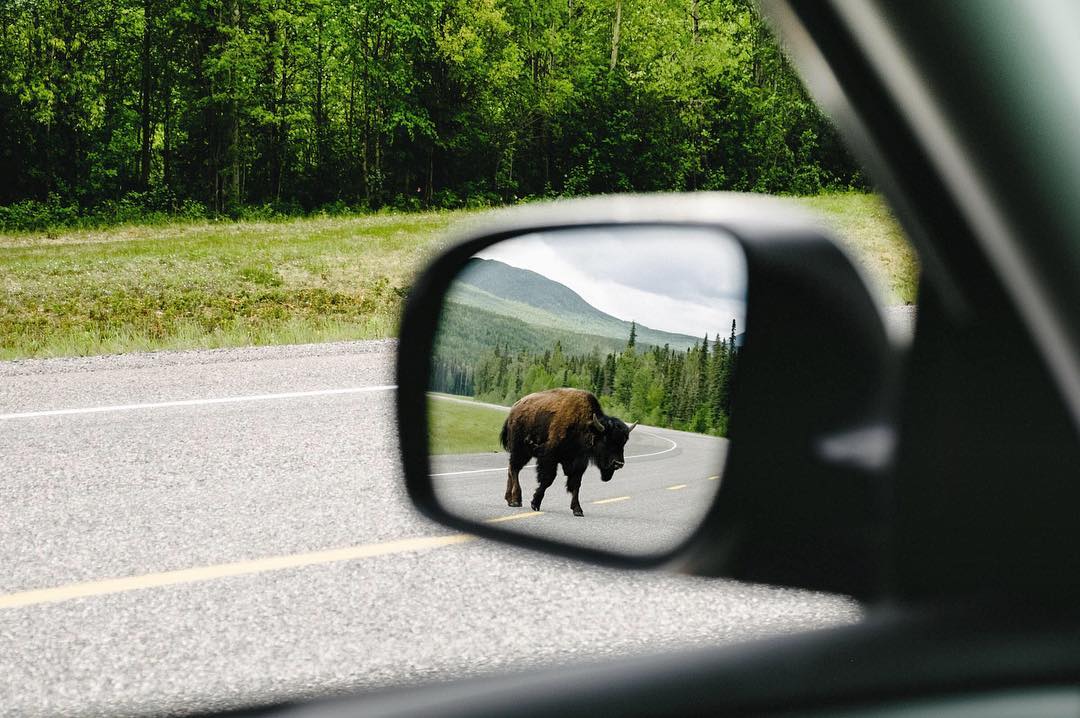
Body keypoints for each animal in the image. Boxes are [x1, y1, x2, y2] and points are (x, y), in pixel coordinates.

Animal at [501, 386, 635, 516]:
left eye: (624, 442)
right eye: (606, 439)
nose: (618, 463)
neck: (585, 426)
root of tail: (514, 408)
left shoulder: (579, 463)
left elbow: (575, 484)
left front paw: (578, 510)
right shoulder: (549, 457)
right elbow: (548, 479)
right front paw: (535, 503)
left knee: (511, 469)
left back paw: (509, 499)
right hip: (521, 450)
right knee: (514, 469)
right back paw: (516, 500)